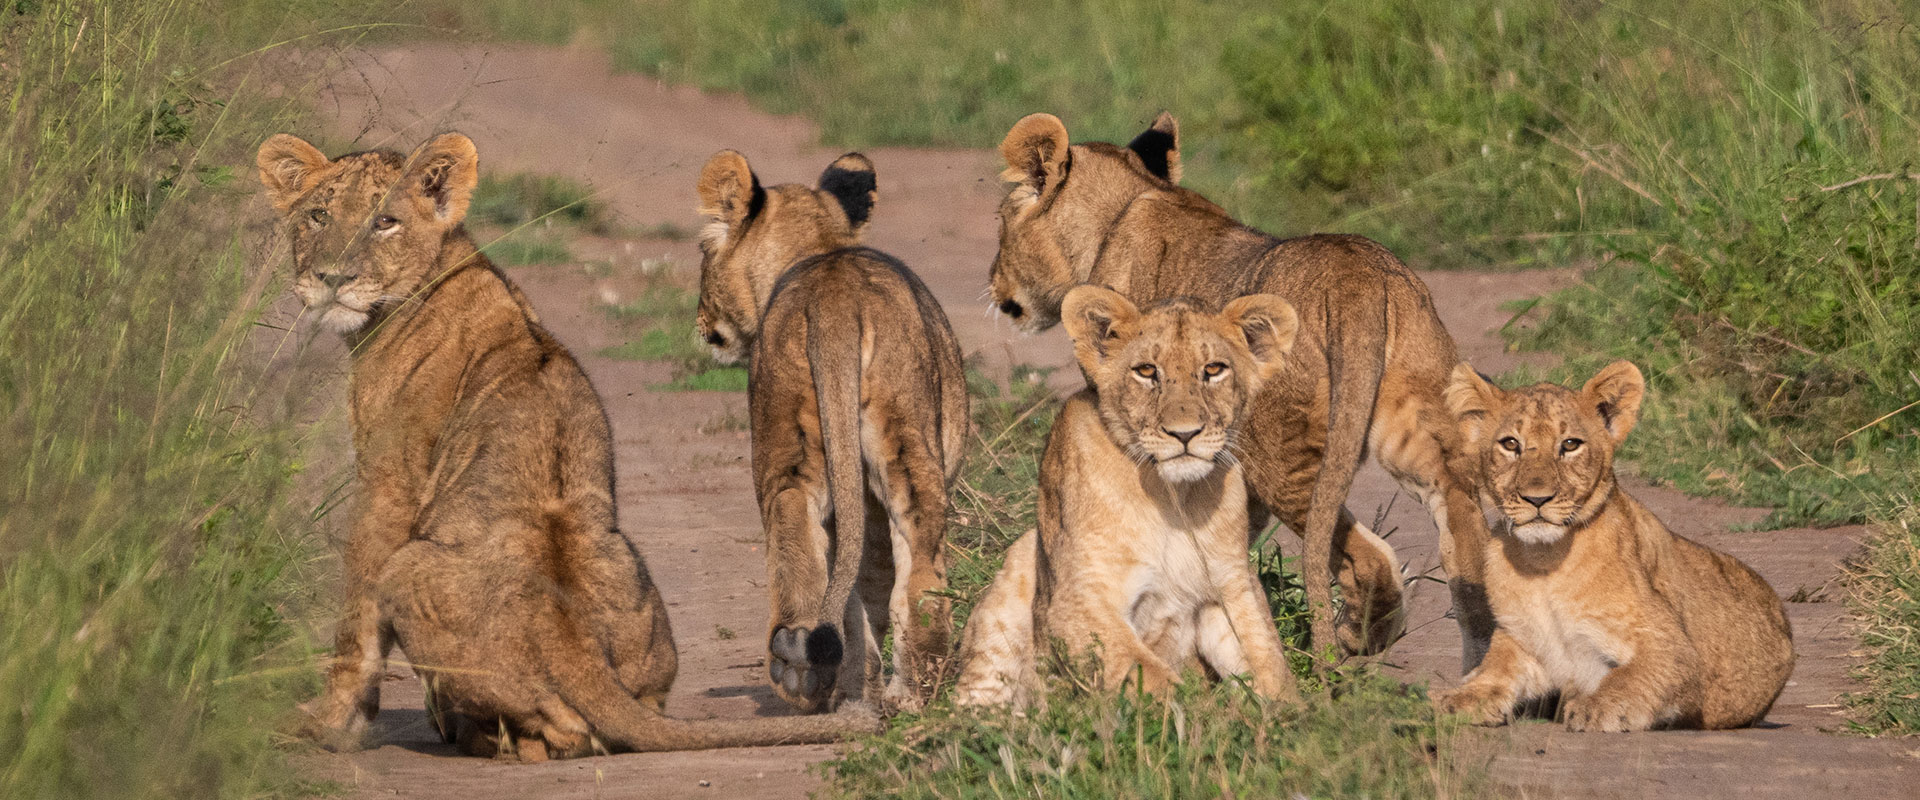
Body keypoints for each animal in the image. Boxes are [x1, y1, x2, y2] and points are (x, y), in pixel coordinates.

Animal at [259, 132, 875, 759]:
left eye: (384, 221)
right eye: (317, 216)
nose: (331, 278)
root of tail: (573, 648)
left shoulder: (387, 486)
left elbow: (354, 622)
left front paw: (331, 725)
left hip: (408, 565)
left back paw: (474, 734)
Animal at [694, 150, 969, 712]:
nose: (699, 318)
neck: (820, 247)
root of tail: (833, 295)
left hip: (796, 439)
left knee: (797, 526)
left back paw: (812, 671)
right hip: (896, 441)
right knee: (911, 572)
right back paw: (899, 689)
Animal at [954, 286, 1303, 707]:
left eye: (1214, 369)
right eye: (1147, 371)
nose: (1185, 433)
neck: (1174, 500)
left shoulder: (1232, 585)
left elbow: (1268, 660)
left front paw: (1299, 716)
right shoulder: (1078, 600)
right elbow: (1148, 676)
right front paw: (1204, 715)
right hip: (1015, 576)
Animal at [987, 111, 1496, 669]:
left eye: (1001, 223)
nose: (993, 283)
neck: (1125, 205)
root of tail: (1355, 276)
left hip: (1276, 451)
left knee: (1367, 556)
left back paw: (1349, 642)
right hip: (1425, 431)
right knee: (1463, 541)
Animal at [1434, 361, 1794, 731]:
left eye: (1570, 444)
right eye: (1510, 444)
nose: (1537, 498)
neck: (1543, 562)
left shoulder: (1673, 648)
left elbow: (1630, 678)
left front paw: (1597, 706)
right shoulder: (1521, 639)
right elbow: (1495, 673)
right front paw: (1461, 698)